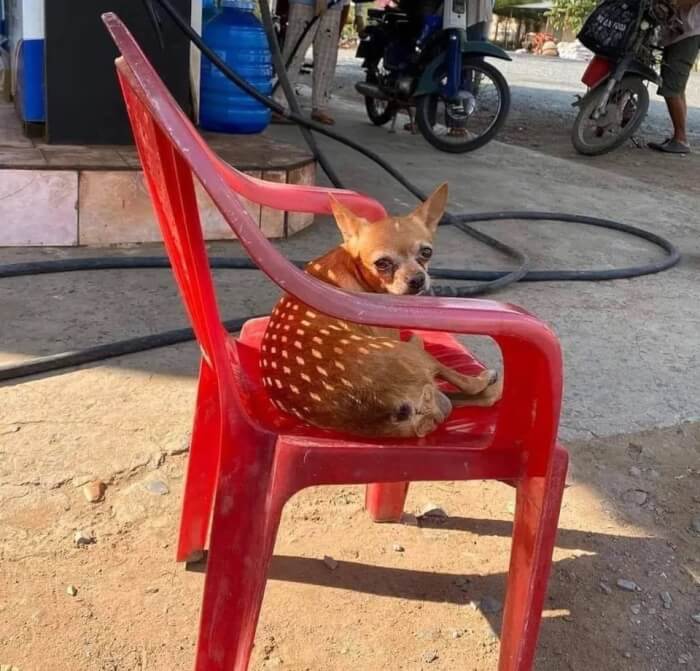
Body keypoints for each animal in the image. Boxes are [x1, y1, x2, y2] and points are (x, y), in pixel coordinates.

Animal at [260, 184, 500, 438]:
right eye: (382, 263)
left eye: (426, 252)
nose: (417, 279)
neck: (353, 266)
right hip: (413, 356)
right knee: (467, 384)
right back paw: (482, 377)